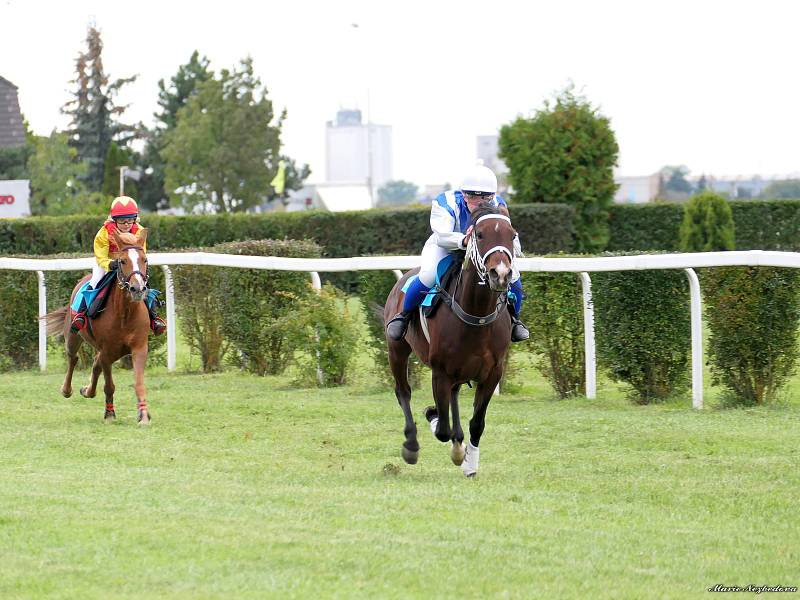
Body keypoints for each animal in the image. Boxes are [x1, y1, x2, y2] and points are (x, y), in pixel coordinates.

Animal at [44, 227, 154, 424]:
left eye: (145, 259)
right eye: (122, 261)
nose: (137, 289)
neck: (125, 313)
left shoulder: (139, 348)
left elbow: (139, 383)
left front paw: (143, 415)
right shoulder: (107, 350)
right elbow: (109, 385)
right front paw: (110, 414)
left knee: (95, 364)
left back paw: (88, 390)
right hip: (73, 336)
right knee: (73, 358)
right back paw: (67, 390)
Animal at [384, 204, 516, 476]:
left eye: (513, 235)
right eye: (480, 235)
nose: (501, 274)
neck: (476, 315)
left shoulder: (492, 373)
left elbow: (477, 423)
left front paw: (468, 461)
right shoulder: (440, 372)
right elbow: (442, 428)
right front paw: (435, 419)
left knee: (454, 395)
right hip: (397, 350)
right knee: (403, 392)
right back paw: (411, 444)